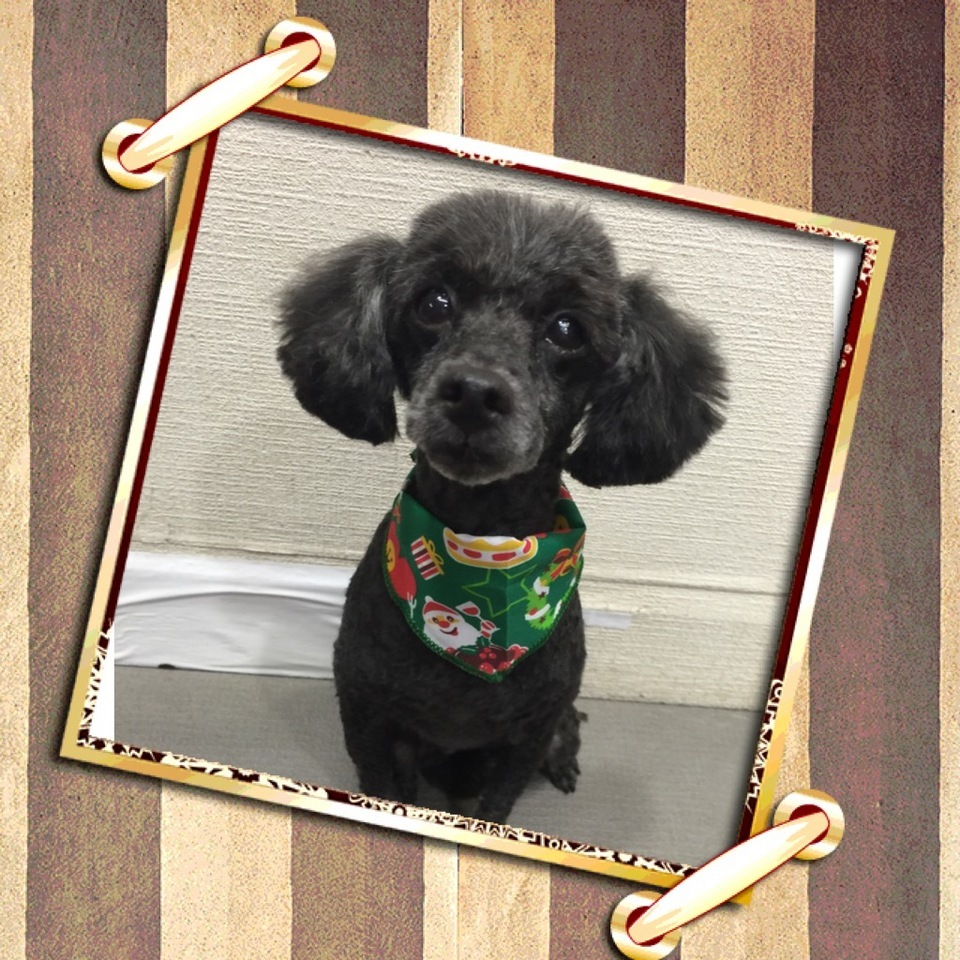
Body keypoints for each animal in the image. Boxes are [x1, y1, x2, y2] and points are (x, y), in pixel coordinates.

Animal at [277, 189, 726, 823]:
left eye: (567, 328)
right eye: (434, 301)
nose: (474, 392)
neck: (481, 541)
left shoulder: (526, 735)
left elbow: (497, 802)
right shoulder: (368, 717)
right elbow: (384, 786)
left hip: (558, 722)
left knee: (567, 737)